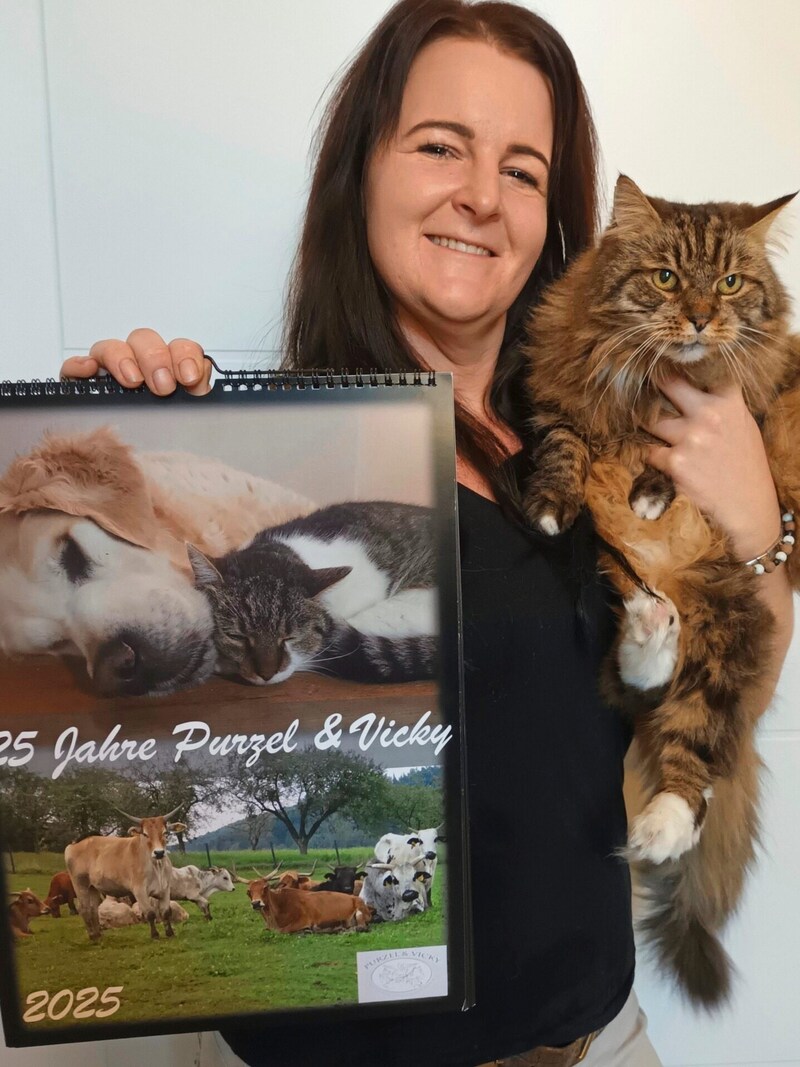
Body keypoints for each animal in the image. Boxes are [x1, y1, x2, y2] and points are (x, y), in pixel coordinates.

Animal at [65, 806, 184, 943]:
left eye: (165, 832)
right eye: (145, 834)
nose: (159, 852)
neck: (156, 866)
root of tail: (76, 843)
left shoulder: (165, 889)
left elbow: (166, 912)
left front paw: (170, 933)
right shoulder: (139, 891)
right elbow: (150, 914)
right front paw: (155, 935)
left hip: (92, 887)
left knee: (93, 908)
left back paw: (98, 935)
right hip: (80, 885)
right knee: (84, 908)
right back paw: (92, 936)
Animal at [522, 174, 797, 1007]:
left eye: (731, 282)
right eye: (669, 278)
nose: (702, 316)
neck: (651, 375)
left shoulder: (750, 400)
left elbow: (681, 438)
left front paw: (650, 488)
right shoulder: (564, 401)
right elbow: (565, 450)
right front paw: (551, 505)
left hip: (731, 618)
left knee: (693, 738)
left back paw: (664, 824)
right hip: (642, 592)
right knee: (640, 681)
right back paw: (650, 627)